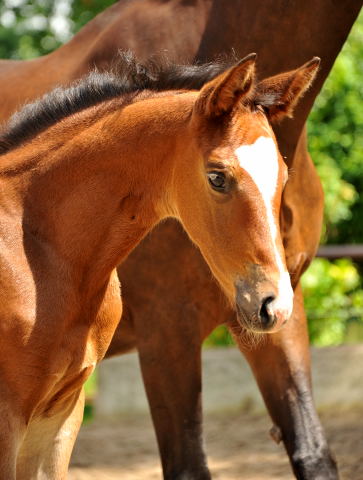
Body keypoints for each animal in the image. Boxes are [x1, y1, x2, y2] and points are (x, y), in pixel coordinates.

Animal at [0, 1, 362, 478]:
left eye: (282, 177)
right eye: (217, 177)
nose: (271, 302)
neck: (39, 250)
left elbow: (312, 448)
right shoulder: (167, 331)